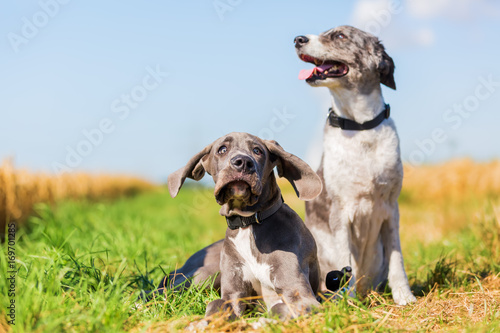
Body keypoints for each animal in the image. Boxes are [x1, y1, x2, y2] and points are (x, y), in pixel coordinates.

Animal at [162, 131, 322, 318]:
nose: (243, 162)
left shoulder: (299, 293)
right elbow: (215, 305)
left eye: (257, 150)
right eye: (222, 149)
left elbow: (279, 307)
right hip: (204, 275)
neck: (248, 224)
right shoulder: (233, 293)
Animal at [294, 24, 416, 304]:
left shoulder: (391, 209)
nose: (297, 39)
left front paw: (404, 295)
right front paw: (348, 303)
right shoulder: (340, 212)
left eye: (339, 36)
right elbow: (344, 258)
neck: (360, 128)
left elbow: (397, 259)